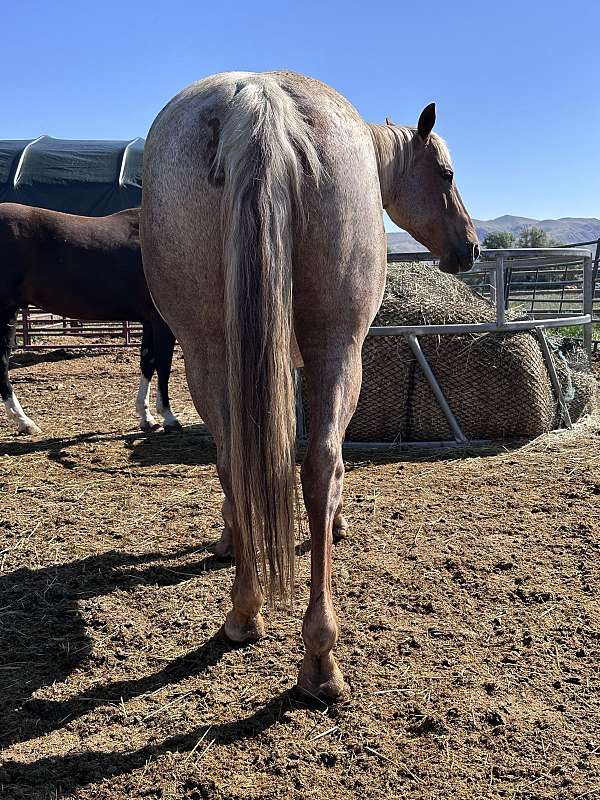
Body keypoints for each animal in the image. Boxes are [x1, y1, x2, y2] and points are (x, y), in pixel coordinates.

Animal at [0, 203, 180, 435]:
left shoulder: (149, 322)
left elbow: (147, 364)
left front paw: (146, 417)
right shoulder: (163, 322)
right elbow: (164, 365)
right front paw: (168, 416)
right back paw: (24, 421)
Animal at [141, 71, 479, 701]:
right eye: (445, 174)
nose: (470, 247)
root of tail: (259, 101)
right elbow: (322, 457)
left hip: (206, 349)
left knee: (237, 457)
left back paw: (245, 611)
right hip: (338, 346)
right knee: (321, 462)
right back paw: (319, 656)